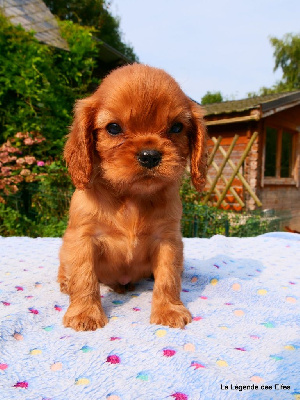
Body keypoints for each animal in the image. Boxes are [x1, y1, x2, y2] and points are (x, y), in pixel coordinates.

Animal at [57, 62, 207, 332]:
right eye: (114, 128)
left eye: (176, 127)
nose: (149, 155)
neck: (132, 197)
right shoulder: (83, 238)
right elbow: (84, 277)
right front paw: (85, 313)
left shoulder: (168, 240)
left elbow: (168, 278)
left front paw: (168, 309)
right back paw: (65, 282)